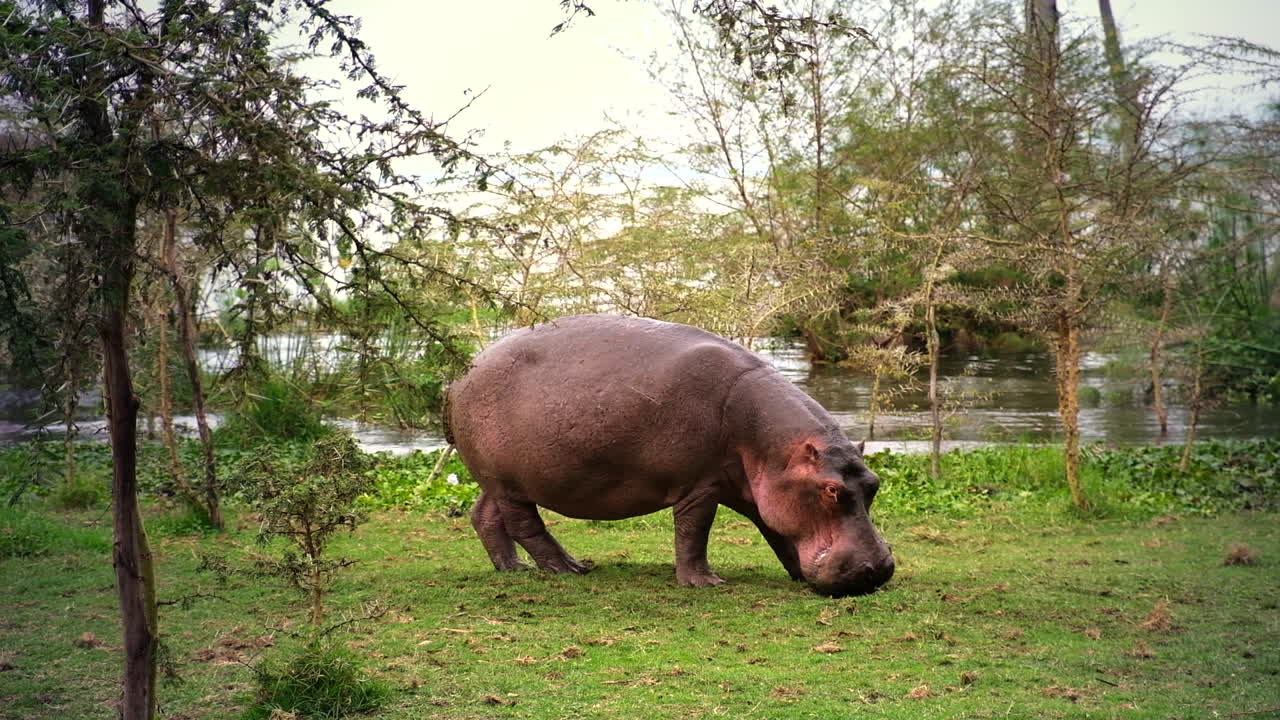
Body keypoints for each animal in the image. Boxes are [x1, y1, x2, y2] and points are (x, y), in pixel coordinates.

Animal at [444, 314, 894, 596]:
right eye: (832, 490)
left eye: (874, 484)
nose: (875, 570)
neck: (774, 448)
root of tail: (459, 377)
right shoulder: (700, 485)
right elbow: (694, 531)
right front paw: (706, 584)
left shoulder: (762, 491)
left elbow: (779, 532)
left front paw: (797, 573)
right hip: (509, 482)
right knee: (525, 524)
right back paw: (570, 568)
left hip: (498, 479)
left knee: (485, 516)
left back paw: (513, 568)